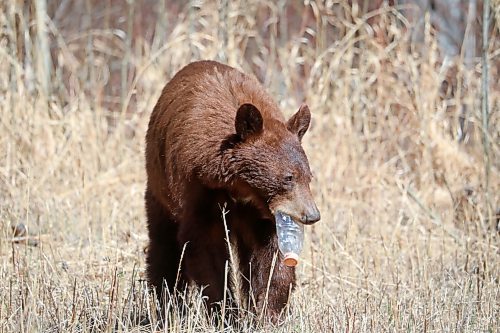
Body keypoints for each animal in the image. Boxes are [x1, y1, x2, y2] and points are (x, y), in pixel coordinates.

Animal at [145, 59, 320, 322]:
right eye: (288, 177)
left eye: (308, 178)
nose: (312, 215)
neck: (240, 188)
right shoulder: (197, 190)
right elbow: (205, 247)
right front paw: (226, 313)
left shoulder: (263, 216)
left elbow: (272, 255)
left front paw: (267, 312)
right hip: (159, 190)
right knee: (164, 246)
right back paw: (166, 304)